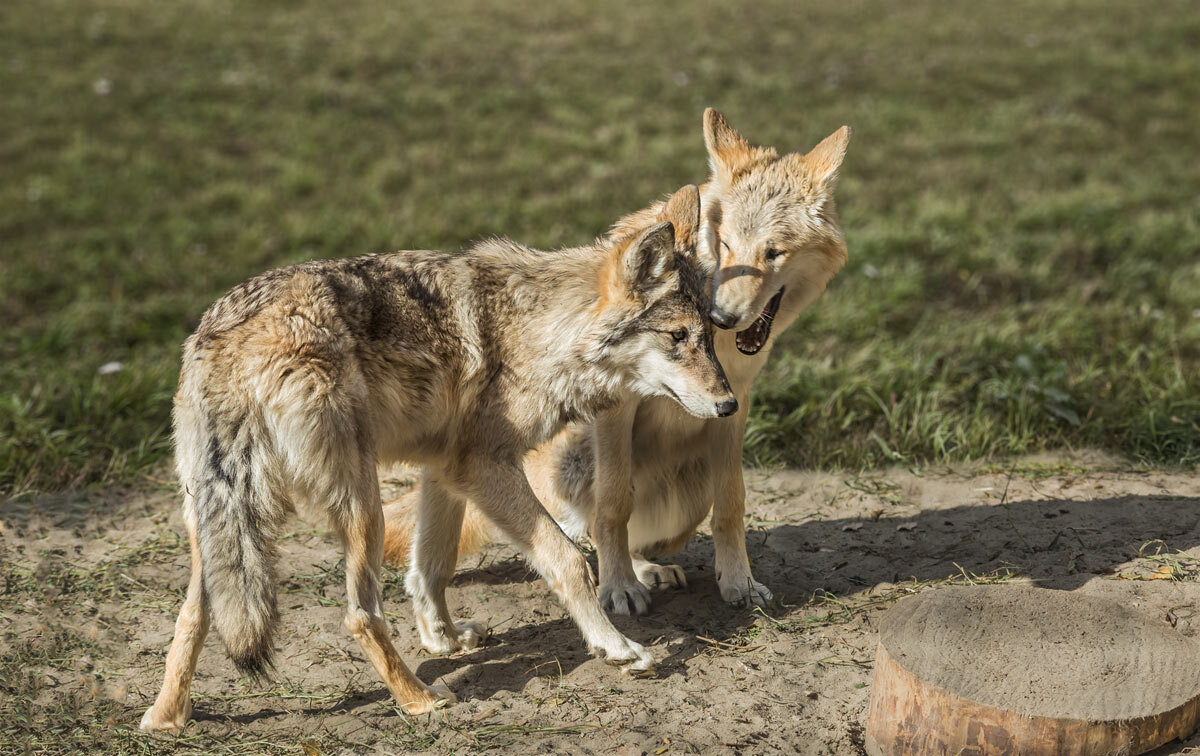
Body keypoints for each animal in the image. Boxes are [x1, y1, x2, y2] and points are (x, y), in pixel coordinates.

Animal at [144, 184, 734, 734]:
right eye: (677, 337)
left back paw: (166, 718)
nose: (729, 405)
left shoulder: (445, 470)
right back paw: (421, 701)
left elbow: (432, 564)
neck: (536, 332)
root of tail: (227, 340)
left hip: (219, 524)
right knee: (360, 616)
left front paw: (442, 639)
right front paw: (616, 647)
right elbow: (566, 560)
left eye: (710, 336)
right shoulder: (484, 466)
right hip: (362, 507)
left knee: (194, 614)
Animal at [379, 109, 849, 614]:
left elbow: (732, 503)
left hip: (690, 490)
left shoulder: (734, 404)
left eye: (773, 252)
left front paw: (738, 581)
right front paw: (619, 587)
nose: (723, 316)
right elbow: (613, 504)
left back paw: (652, 569)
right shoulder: (615, 406)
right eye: (724, 245)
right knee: (580, 524)